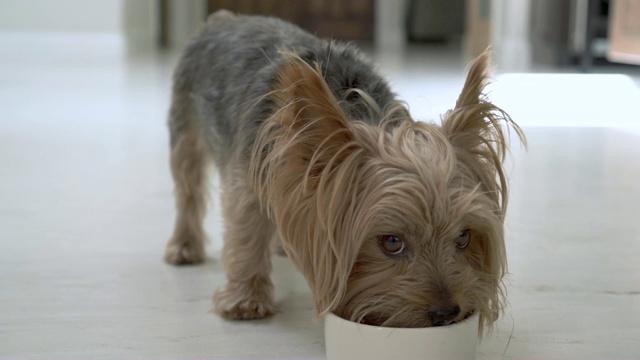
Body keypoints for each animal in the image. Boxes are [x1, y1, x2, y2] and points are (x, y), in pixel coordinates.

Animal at [162, 9, 524, 330]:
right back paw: (184, 247)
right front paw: (246, 299)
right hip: (185, 126)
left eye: (464, 237)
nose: (446, 313)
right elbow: (246, 234)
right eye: (391, 242)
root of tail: (225, 18)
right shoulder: (249, 179)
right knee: (188, 189)